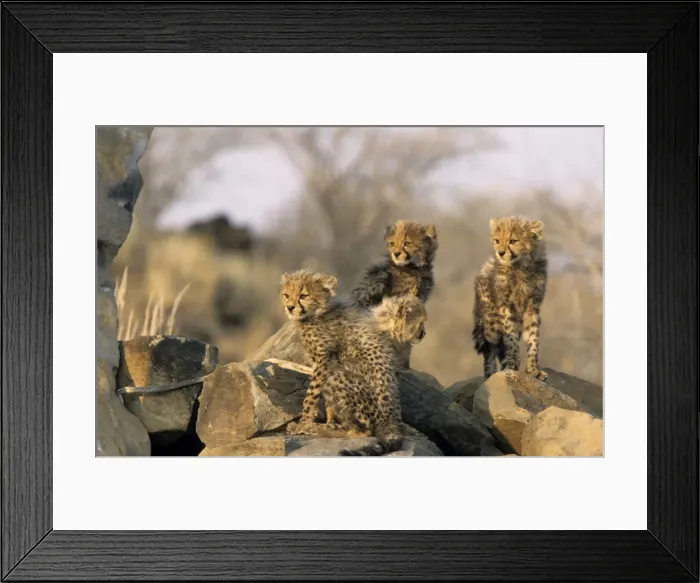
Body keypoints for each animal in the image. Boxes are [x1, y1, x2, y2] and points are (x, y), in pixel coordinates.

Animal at [279, 269, 405, 456]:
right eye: (286, 295)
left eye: (303, 295)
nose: (290, 307)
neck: (317, 313)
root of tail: (391, 420)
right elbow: (328, 404)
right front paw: (327, 421)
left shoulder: (324, 360)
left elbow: (311, 396)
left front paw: (304, 423)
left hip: (338, 376)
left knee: (364, 431)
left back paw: (321, 430)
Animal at [472, 215, 549, 382]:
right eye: (497, 240)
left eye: (513, 241)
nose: (500, 253)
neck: (520, 266)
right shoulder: (505, 306)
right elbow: (510, 336)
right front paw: (512, 362)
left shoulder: (532, 306)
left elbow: (533, 338)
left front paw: (533, 369)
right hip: (490, 322)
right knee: (490, 348)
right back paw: (490, 374)